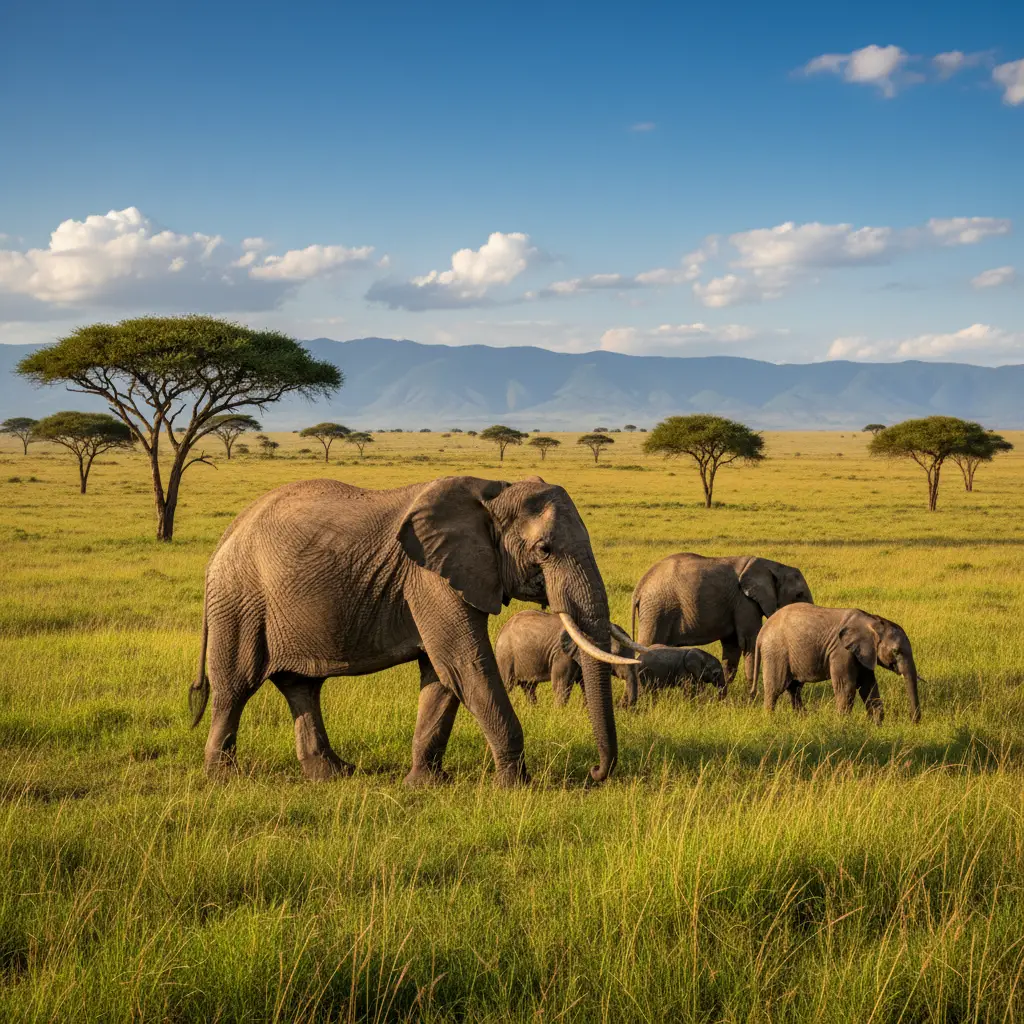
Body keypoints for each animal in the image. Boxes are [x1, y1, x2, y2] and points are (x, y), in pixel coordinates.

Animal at [189, 475, 638, 787]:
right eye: (544, 550)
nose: (595, 772)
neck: (494, 493)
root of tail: (228, 533)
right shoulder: (430, 578)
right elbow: (466, 665)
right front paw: (518, 787)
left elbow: (442, 674)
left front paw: (425, 784)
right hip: (239, 600)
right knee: (235, 687)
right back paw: (223, 777)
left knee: (302, 686)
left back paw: (333, 774)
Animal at [495, 611, 725, 707]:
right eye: (614, 655)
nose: (622, 705)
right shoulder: (563, 655)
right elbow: (561, 684)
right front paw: (559, 712)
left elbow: (586, 685)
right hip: (506, 656)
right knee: (508, 684)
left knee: (529, 688)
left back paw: (533, 710)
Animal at [630, 553, 814, 688]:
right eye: (799, 595)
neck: (773, 566)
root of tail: (639, 587)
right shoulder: (744, 602)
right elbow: (748, 642)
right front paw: (752, 697)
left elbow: (732, 646)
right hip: (657, 610)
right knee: (648, 644)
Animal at [750, 604, 921, 723]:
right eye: (896, 651)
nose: (913, 721)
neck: (872, 620)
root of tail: (762, 631)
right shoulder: (842, 652)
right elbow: (847, 687)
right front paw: (843, 725)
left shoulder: (863, 653)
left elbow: (868, 686)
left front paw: (877, 725)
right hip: (776, 651)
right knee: (776, 689)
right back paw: (770, 720)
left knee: (794, 688)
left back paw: (802, 719)